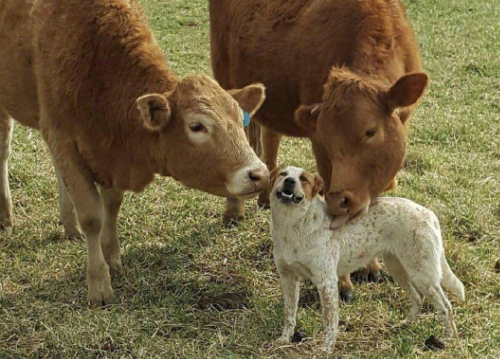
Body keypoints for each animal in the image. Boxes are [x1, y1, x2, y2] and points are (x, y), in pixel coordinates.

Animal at [0, 0, 270, 306]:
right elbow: (92, 215)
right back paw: (6, 217)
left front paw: (112, 256)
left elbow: (111, 205)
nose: (259, 174)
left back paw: (69, 227)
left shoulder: (110, 157)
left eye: (239, 119)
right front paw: (99, 284)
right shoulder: (62, 136)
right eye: (196, 126)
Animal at [211, 0, 430, 302]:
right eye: (326, 138)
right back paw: (234, 211)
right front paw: (343, 281)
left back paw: (266, 195)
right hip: (226, 82)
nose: (342, 200)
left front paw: (371, 266)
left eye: (370, 131)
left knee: (270, 135)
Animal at [270, 167, 464, 352]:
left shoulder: (326, 282)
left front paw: (326, 349)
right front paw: (284, 340)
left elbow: (330, 322)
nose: (289, 181)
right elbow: (289, 314)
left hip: (423, 275)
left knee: (446, 306)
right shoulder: (288, 279)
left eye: (303, 179)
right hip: (399, 270)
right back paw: (405, 325)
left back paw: (449, 340)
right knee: (417, 298)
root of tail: (429, 214)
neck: (291, 225)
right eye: (282, 174)